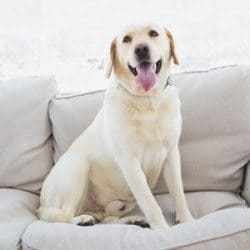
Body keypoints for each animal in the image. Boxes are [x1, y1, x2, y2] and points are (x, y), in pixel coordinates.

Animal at [37, 22, 193, 229]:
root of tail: (40, 204)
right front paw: (162, 229)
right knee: (65, 217)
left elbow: (178, 193)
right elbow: (150, 202)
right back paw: (82, 220)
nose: (141, 49)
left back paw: (132, 220)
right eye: (126, 39)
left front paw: (187, 221)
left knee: (107, 219)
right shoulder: (129, 162)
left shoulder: (171, 153)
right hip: (77, 166)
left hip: (117, 202)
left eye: (153, 33)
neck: (147, 101)